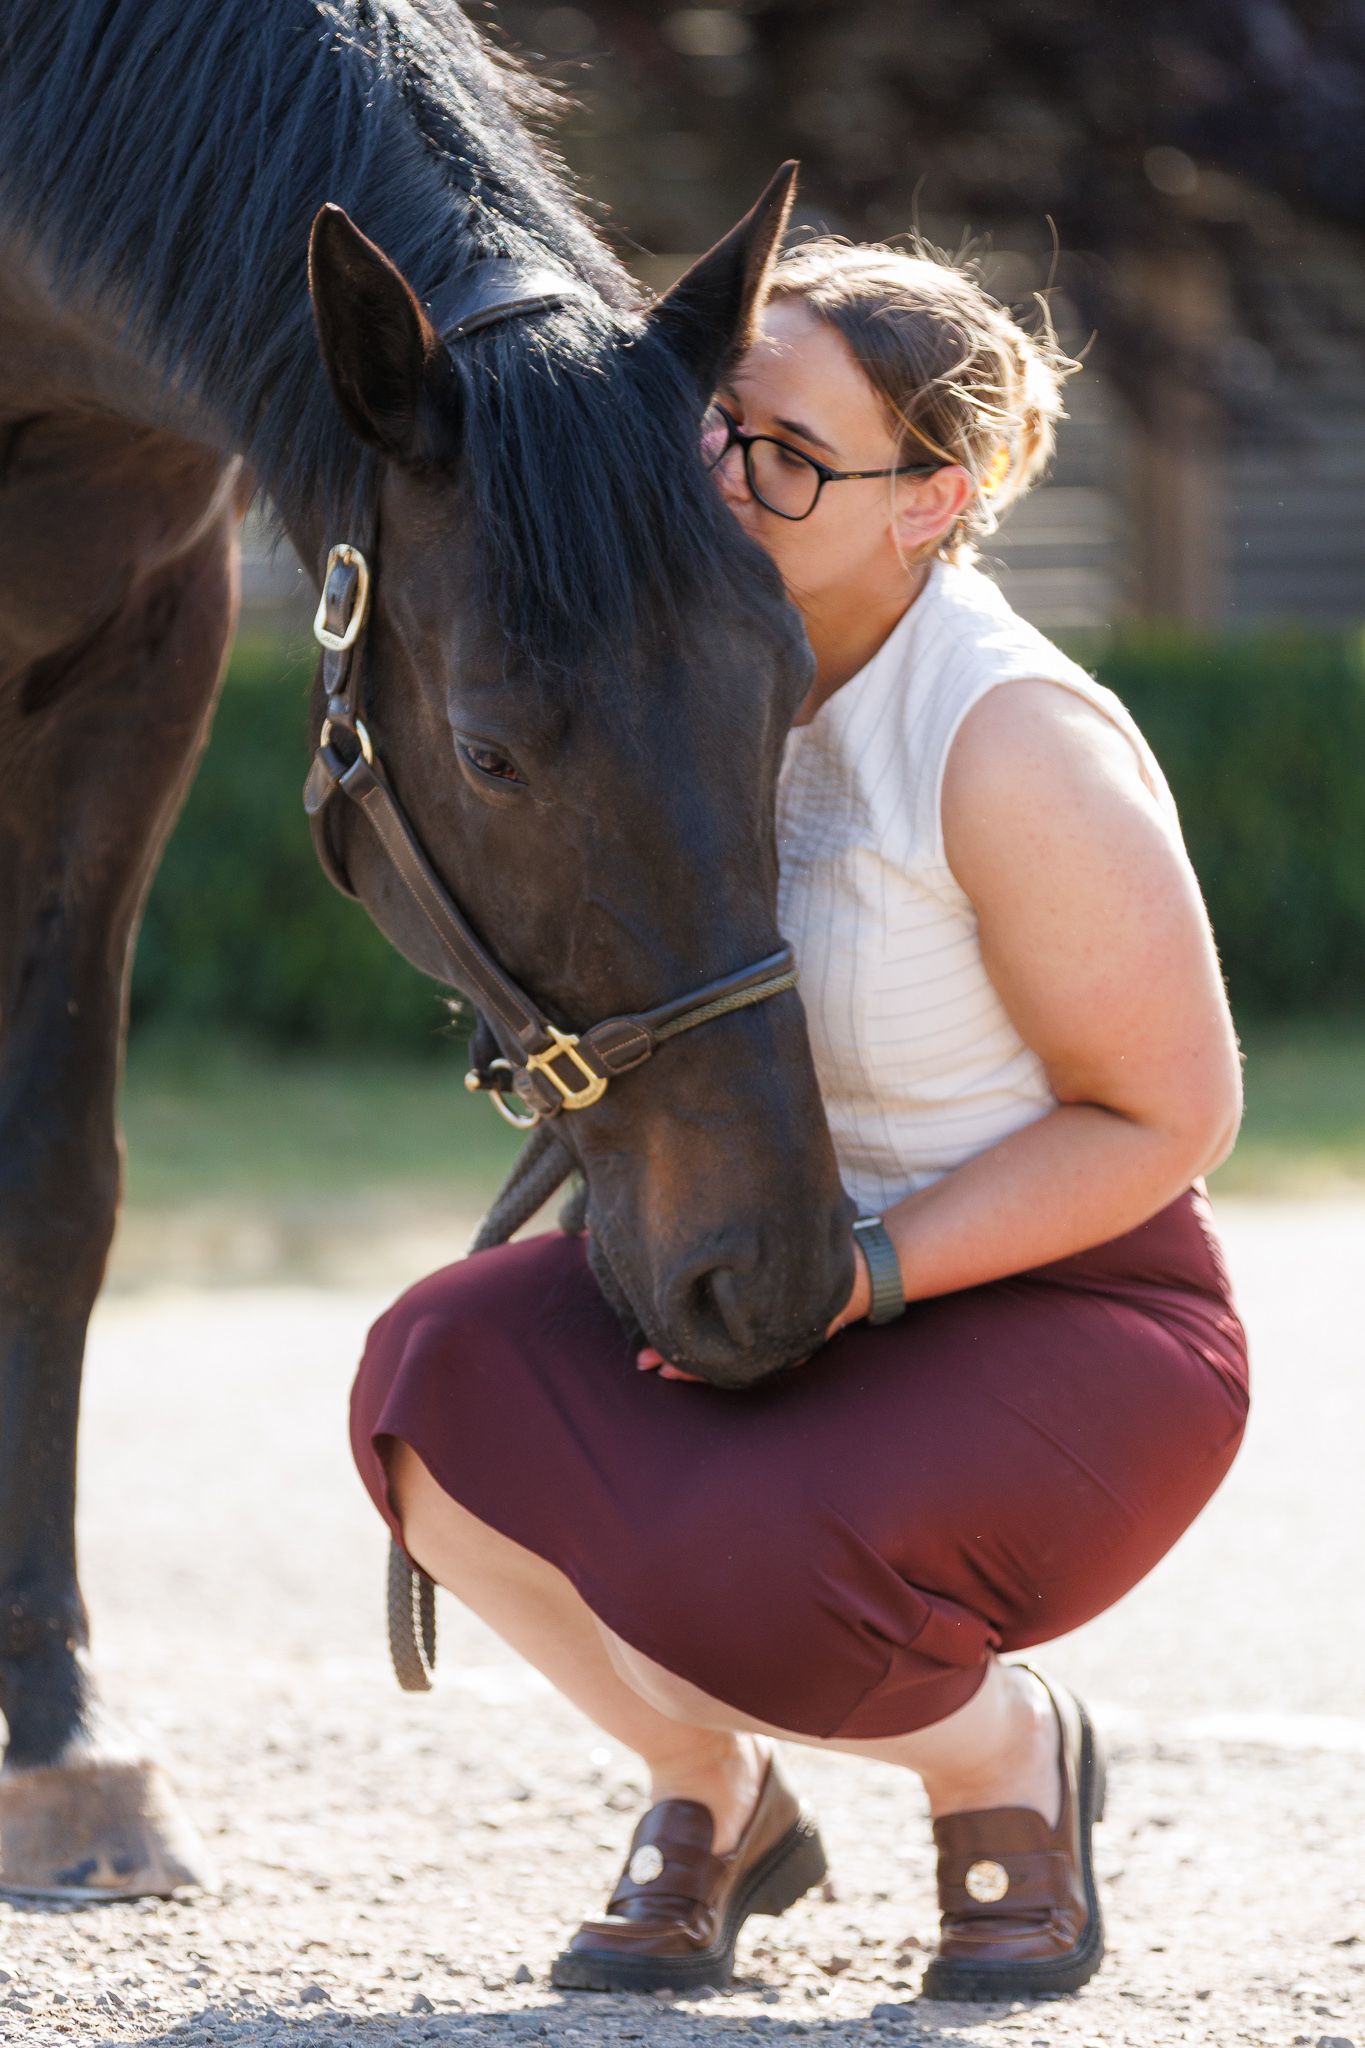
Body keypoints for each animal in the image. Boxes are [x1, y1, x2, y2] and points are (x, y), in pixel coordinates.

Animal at [0, 0, 855, 1901]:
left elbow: (57, 1191)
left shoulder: (138, 660)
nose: (767, 1276)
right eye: (485, 749)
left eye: (789, 674)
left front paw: (56, 1730)